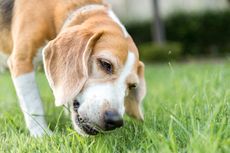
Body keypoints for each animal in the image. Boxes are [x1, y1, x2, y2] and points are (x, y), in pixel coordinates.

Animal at [0, 0, 146, 136]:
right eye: (105, 64)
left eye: (132, 86)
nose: (115, 121)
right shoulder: (21, 61)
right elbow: (33, 103)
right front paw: (42, 134)